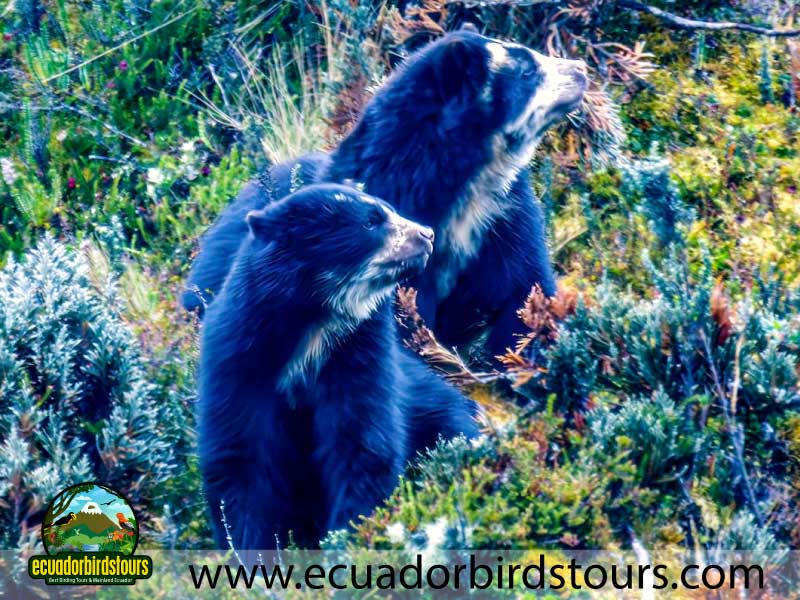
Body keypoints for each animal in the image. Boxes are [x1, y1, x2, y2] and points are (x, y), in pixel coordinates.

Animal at [197, 183, 478, 550]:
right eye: (371, 221)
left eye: (389, 209)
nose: (426, 234)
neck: (313, 328)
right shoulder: (237, 360)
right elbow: (240, 459)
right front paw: (251, 548)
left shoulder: (359, 352)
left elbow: (362, 442)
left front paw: (345, 534)